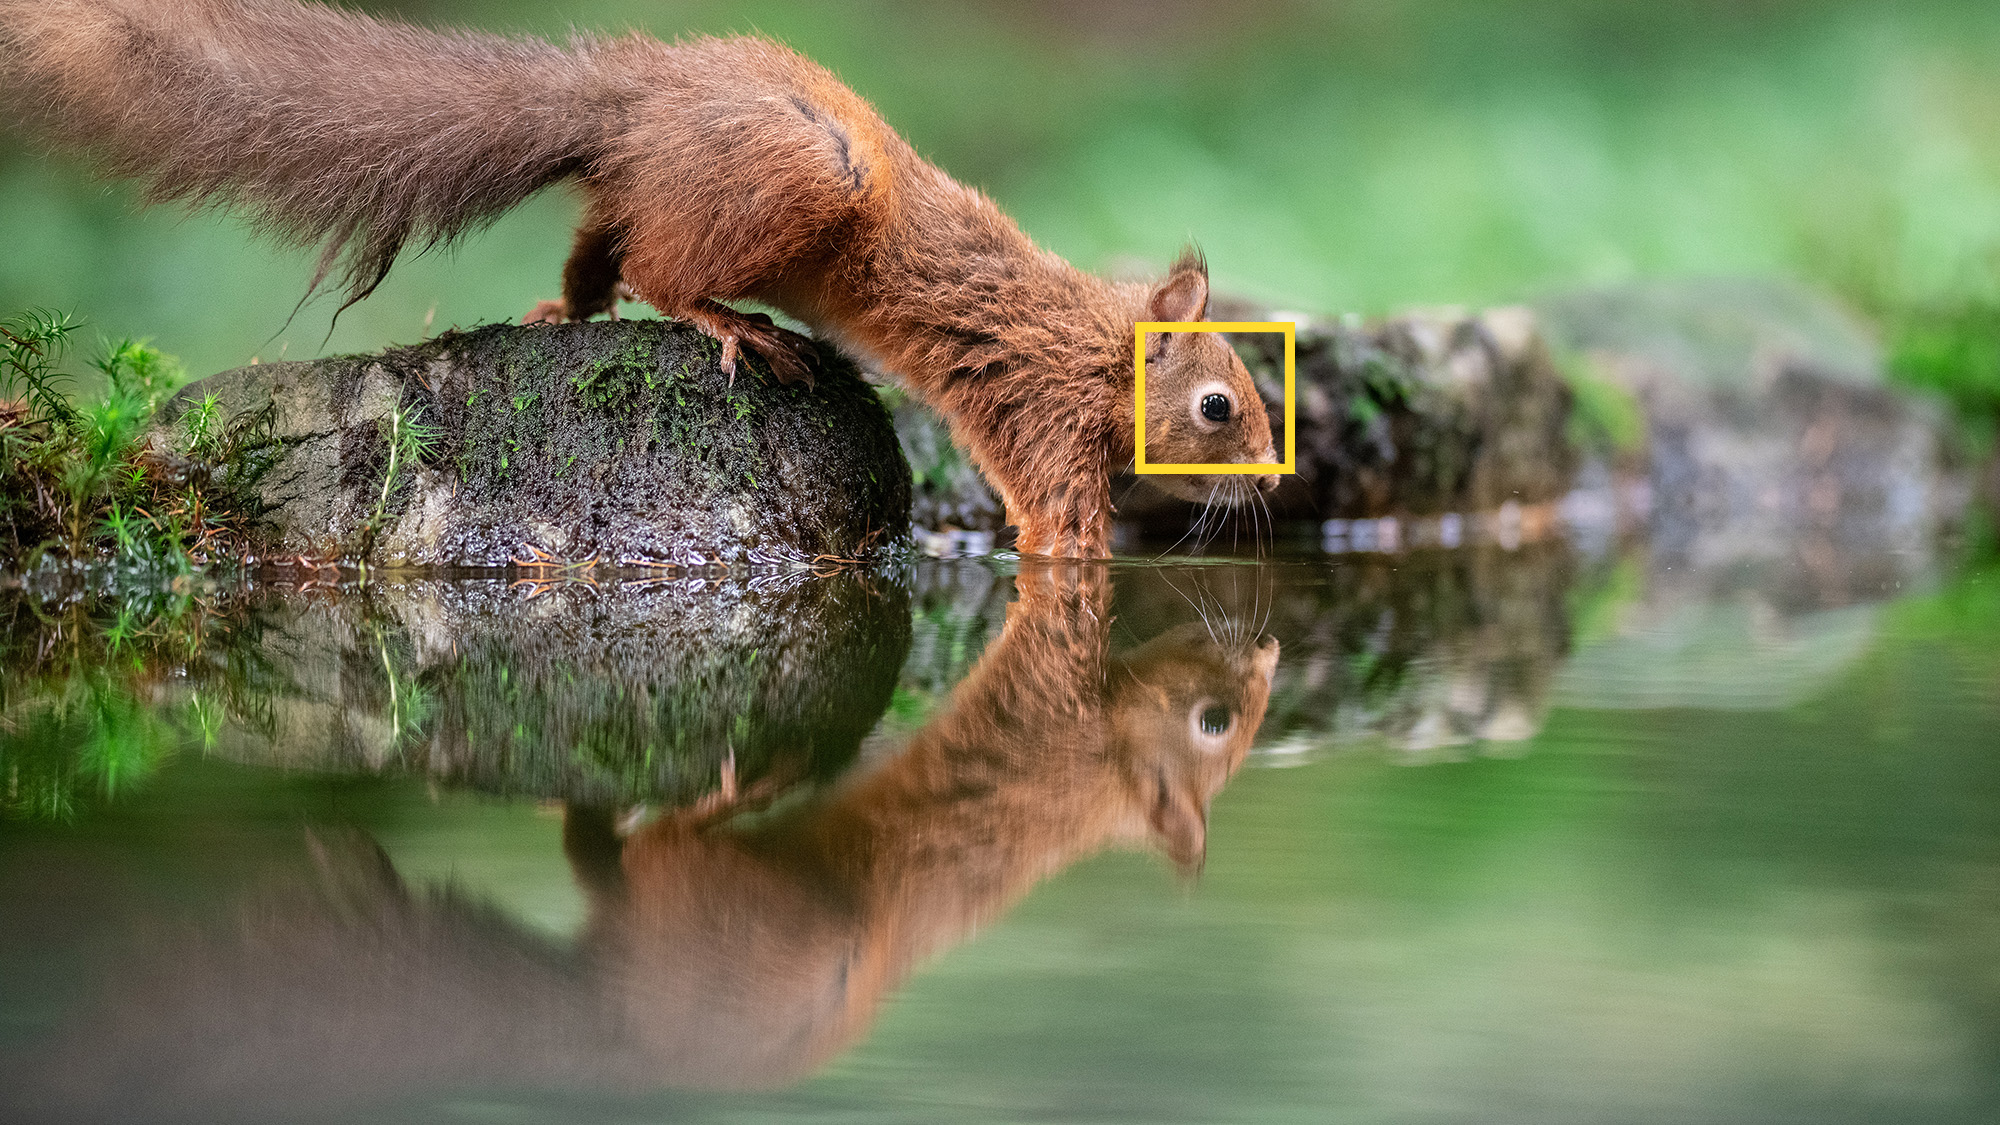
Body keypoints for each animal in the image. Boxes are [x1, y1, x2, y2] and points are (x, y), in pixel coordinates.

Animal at [0, 0, 1280, 558]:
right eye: (1221, 406)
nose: (1270, 486)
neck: (1087, 340)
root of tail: (634, 100)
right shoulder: (1034, 414)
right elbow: (1059, 531)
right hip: (798, 180)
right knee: (665, 266)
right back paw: (725, 323)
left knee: (601, 239)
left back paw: (569, 305)